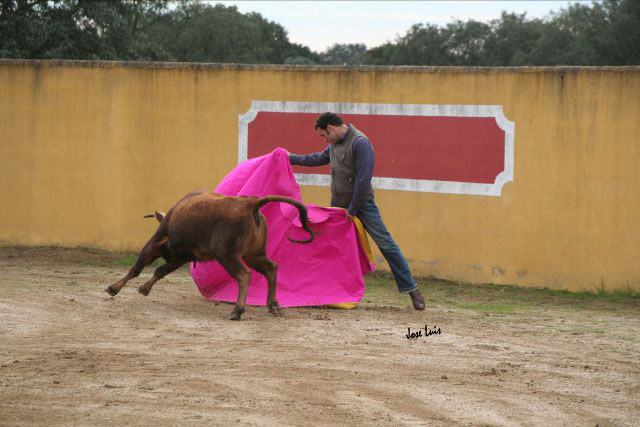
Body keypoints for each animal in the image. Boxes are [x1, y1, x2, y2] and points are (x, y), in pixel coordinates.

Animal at [106, 191, 314, 320]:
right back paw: (273, 306)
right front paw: (144, 288)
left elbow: (137, 268)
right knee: (271, 267)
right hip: (253, 254)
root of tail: (250, 203)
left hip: (226, 255)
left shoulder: (155, 243)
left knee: (243, 274)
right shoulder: (182, 257)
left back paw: (237, 311)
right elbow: (161, 270)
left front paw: (113, 288)